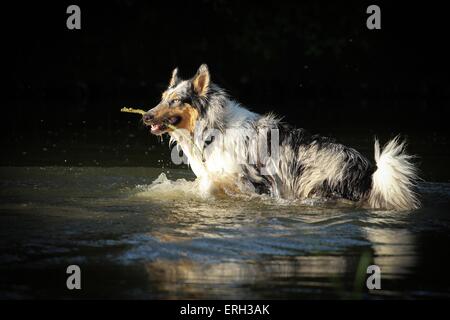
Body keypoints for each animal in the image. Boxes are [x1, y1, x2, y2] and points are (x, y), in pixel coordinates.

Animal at [142, 64, 420, 210]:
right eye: (162, 98)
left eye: (175, 101)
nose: (146, 116)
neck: (214, 129)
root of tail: (369, 172)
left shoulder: (256, 183)